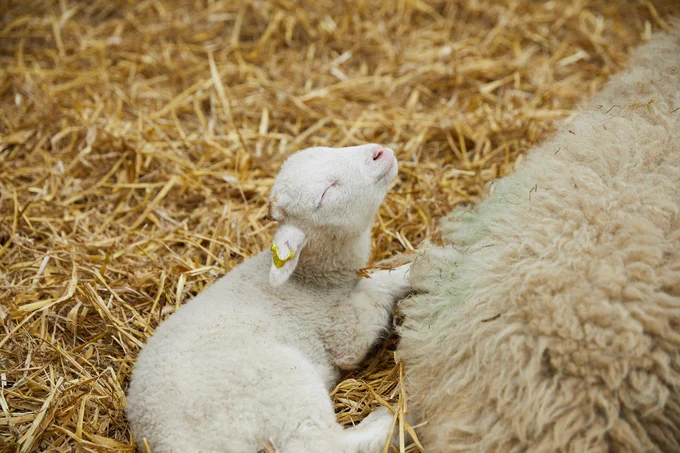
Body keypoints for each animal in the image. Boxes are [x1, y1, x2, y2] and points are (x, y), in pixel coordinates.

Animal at [126, 143, 413, 453]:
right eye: (325, 194)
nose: (379, 152)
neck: (314, 279)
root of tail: (170, 441)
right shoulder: (340, 331)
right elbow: (375, 292)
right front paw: (416, 265)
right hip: (280, 385)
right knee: (322, 443)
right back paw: (394, 419)